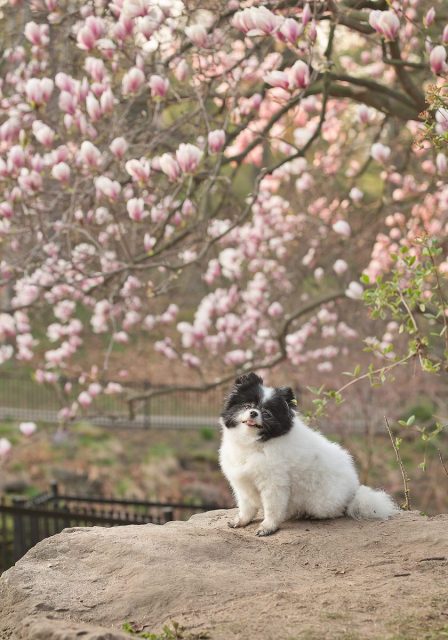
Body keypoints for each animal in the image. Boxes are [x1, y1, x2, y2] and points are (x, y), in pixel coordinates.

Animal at [219, 370, 398, 536]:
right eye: (247, 405)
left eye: (267, 413)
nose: (253, 413)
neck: (254, 444)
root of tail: (353, 493)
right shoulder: (242, 483)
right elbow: (246, 507)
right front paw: (241, 521)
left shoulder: (274, 484)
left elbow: (272, 509)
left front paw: (267, 527)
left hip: (321, 503)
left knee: (337, 511)